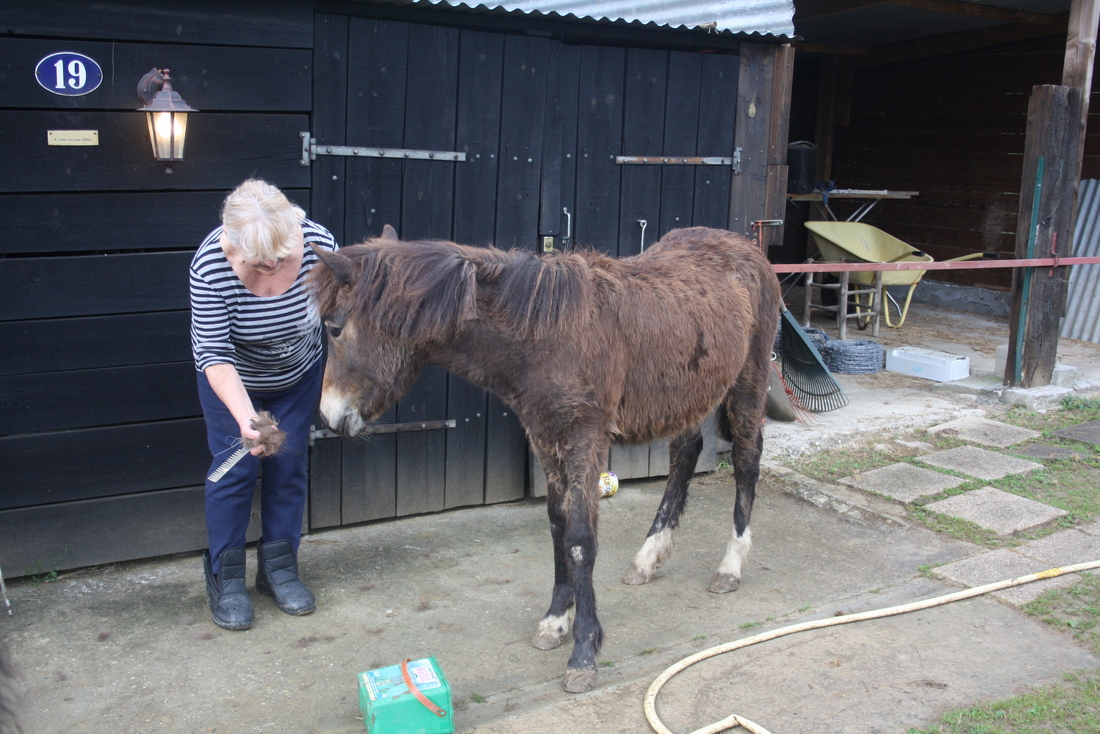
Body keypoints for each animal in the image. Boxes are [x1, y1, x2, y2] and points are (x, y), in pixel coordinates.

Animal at [310, 225, 783, 695]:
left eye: (333, 328)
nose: (329, 417)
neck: (546, 337)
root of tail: (745, 247)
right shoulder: (544, 436)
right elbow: (558, 526)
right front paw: (556, 622)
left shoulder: (584, 438)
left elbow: (581, 538)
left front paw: (584, 651)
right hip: (689, 393)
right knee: (685, 454)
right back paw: (648, 557)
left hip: (747, 382)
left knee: (746, 460)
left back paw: (730, 566)